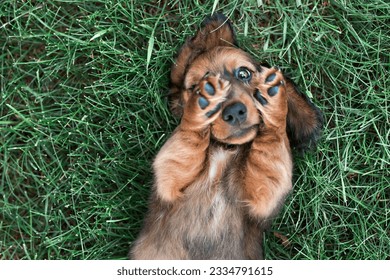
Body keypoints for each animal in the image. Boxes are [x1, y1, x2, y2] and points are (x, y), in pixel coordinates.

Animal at [129, 14, 322, 260]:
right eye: (195, 87)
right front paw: (200, 110)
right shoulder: (169, 181)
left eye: (244, 73)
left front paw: (274, 104)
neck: (225, 150)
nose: (234, 112)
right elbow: (187, 139)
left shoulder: (262, 197)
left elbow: (271, 145)